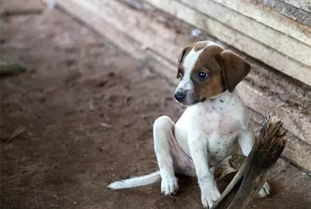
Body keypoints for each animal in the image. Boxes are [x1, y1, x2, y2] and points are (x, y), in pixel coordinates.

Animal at [108, 40, 270, 207]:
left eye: (202, 75)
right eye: (180, 73)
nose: (177, 96)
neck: (216, 107)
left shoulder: (245, 133)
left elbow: (250, 160)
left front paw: (258, 184)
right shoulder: (196, 140)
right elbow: (203, 173)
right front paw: (210, 195)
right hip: (161, 124)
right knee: (166, 162)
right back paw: (169, 183)